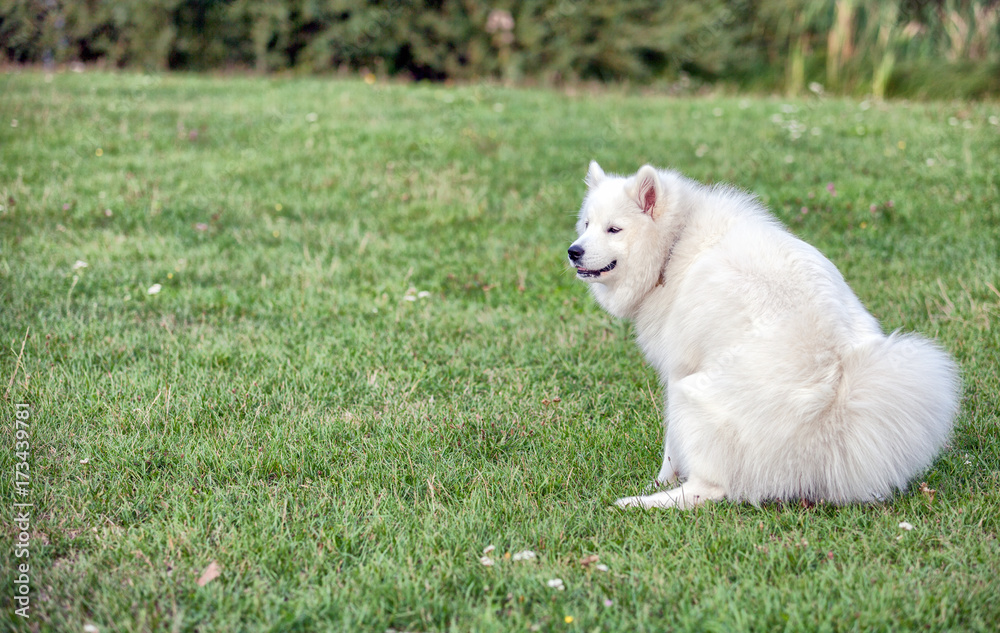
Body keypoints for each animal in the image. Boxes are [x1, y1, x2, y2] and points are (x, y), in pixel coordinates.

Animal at [572, 163, 960, 508]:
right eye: (587, 224)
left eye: (614, 229)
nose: (573, 251)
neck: (675, 244)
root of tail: (831, 420)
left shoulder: (677, 371)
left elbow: (669, 447)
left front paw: (661, 479)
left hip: (690, 398)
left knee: (708, 491)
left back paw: (639, 502)